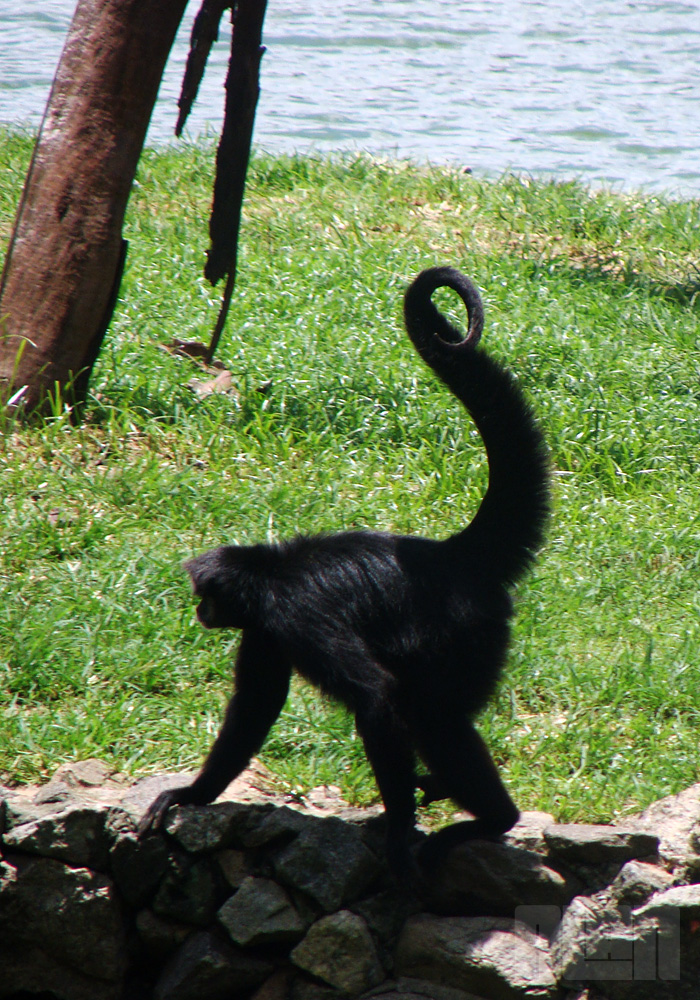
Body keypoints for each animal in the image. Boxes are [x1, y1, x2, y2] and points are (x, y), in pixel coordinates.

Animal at [139, 266, 548, 876]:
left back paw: (495, 819)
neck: (272, 570)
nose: (200, 610)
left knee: (432, 714)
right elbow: (256, 707)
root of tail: (451, 553)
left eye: (205, 594)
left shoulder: (293, 616)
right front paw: (193, 794)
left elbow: (377, 698)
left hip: (466, 631)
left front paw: (400, 832)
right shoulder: (266, 628)